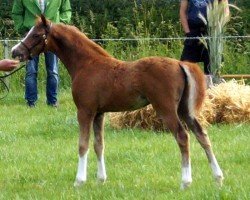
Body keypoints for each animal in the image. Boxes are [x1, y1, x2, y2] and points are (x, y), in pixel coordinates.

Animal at [11, 16, 224, 189]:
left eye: (36, 34)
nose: (15, 52)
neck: (87, 64)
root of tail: (180, 64)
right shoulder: (99, 113)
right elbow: (99, 144)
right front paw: (100, 179)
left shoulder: (84, 111)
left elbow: (83, 144)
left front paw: (79, 180)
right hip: (185, 110)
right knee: (202, 135)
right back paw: (218, 177)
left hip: (167, 109)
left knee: (183, 136)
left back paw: (186, 182)